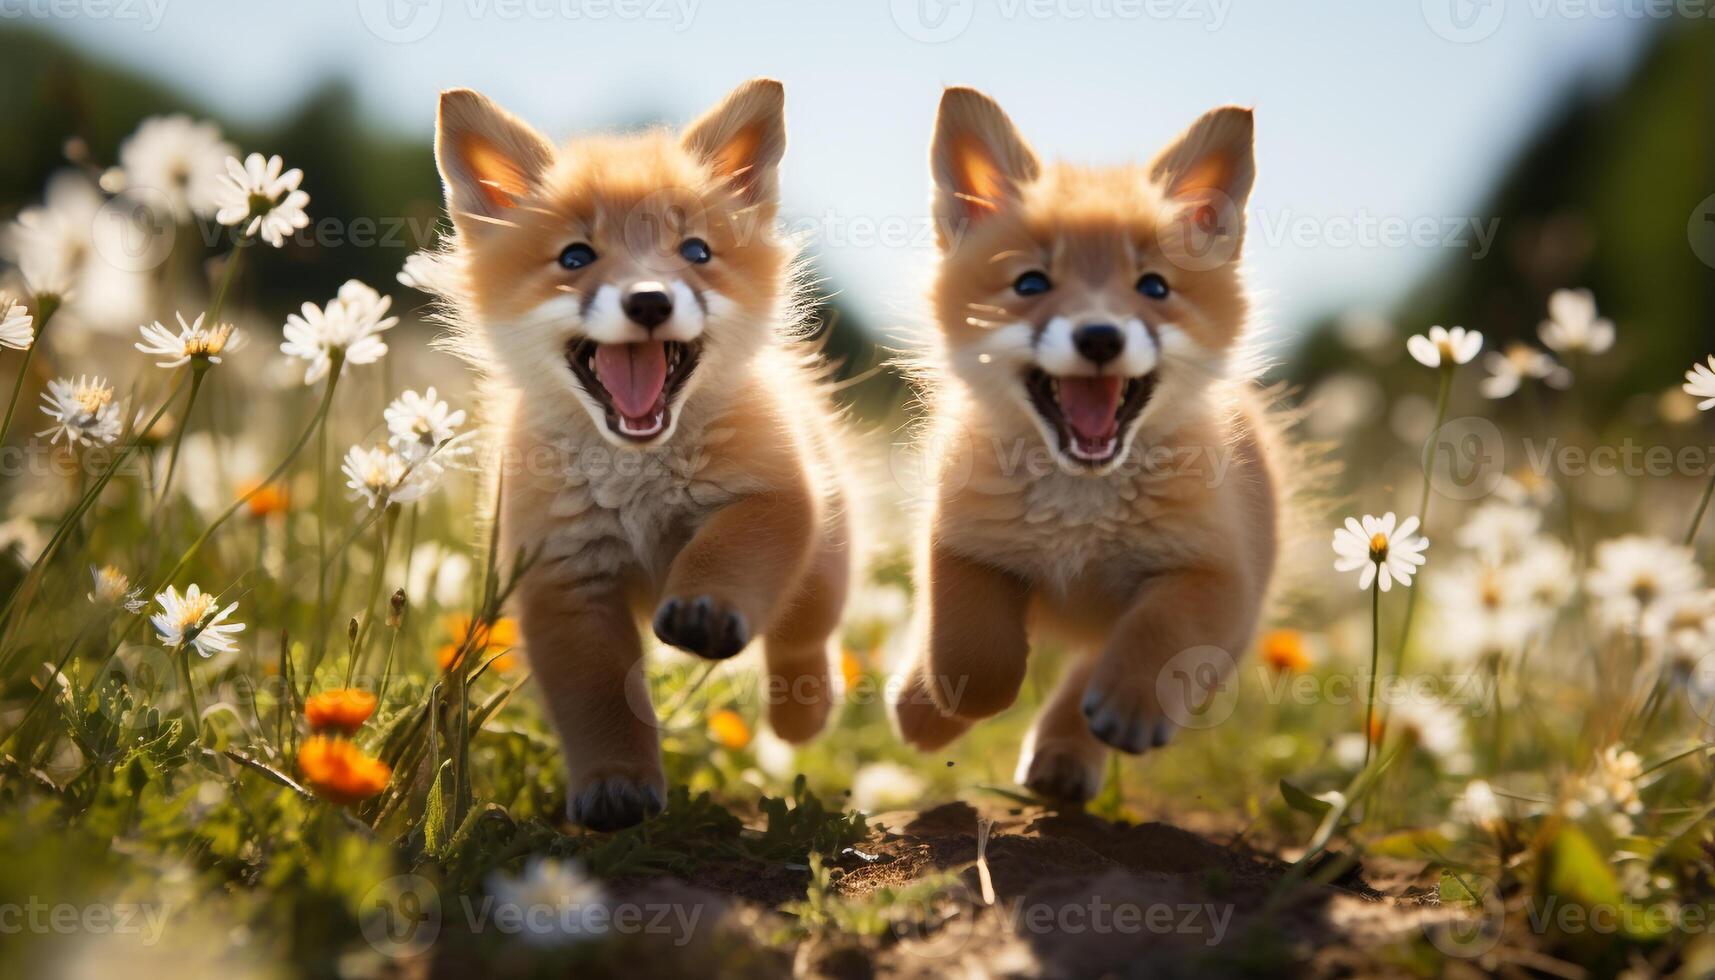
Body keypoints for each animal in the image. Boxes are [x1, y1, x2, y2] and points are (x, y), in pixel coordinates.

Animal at [435, 80, 850, 827]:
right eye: (575, 257)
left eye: (696, 251)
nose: (650, 300)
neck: (639, 479)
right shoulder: (565, 578)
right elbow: (600, 700)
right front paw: (616, 784)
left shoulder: (772, 498)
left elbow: (724, 555)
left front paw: (705, 608)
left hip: (825, 561)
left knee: (804, 635)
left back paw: (800, 712)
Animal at [898, 86, 1275, 806]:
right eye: (1030, 284)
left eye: (1153, 287)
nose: (1099, 335)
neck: (1080, 508)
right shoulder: (960, 541)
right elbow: (974, 658)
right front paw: (936, 706)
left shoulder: (1217, 574)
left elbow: (1158, 637)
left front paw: (1126, 704)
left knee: (1091, 666)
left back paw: (1069, 751)